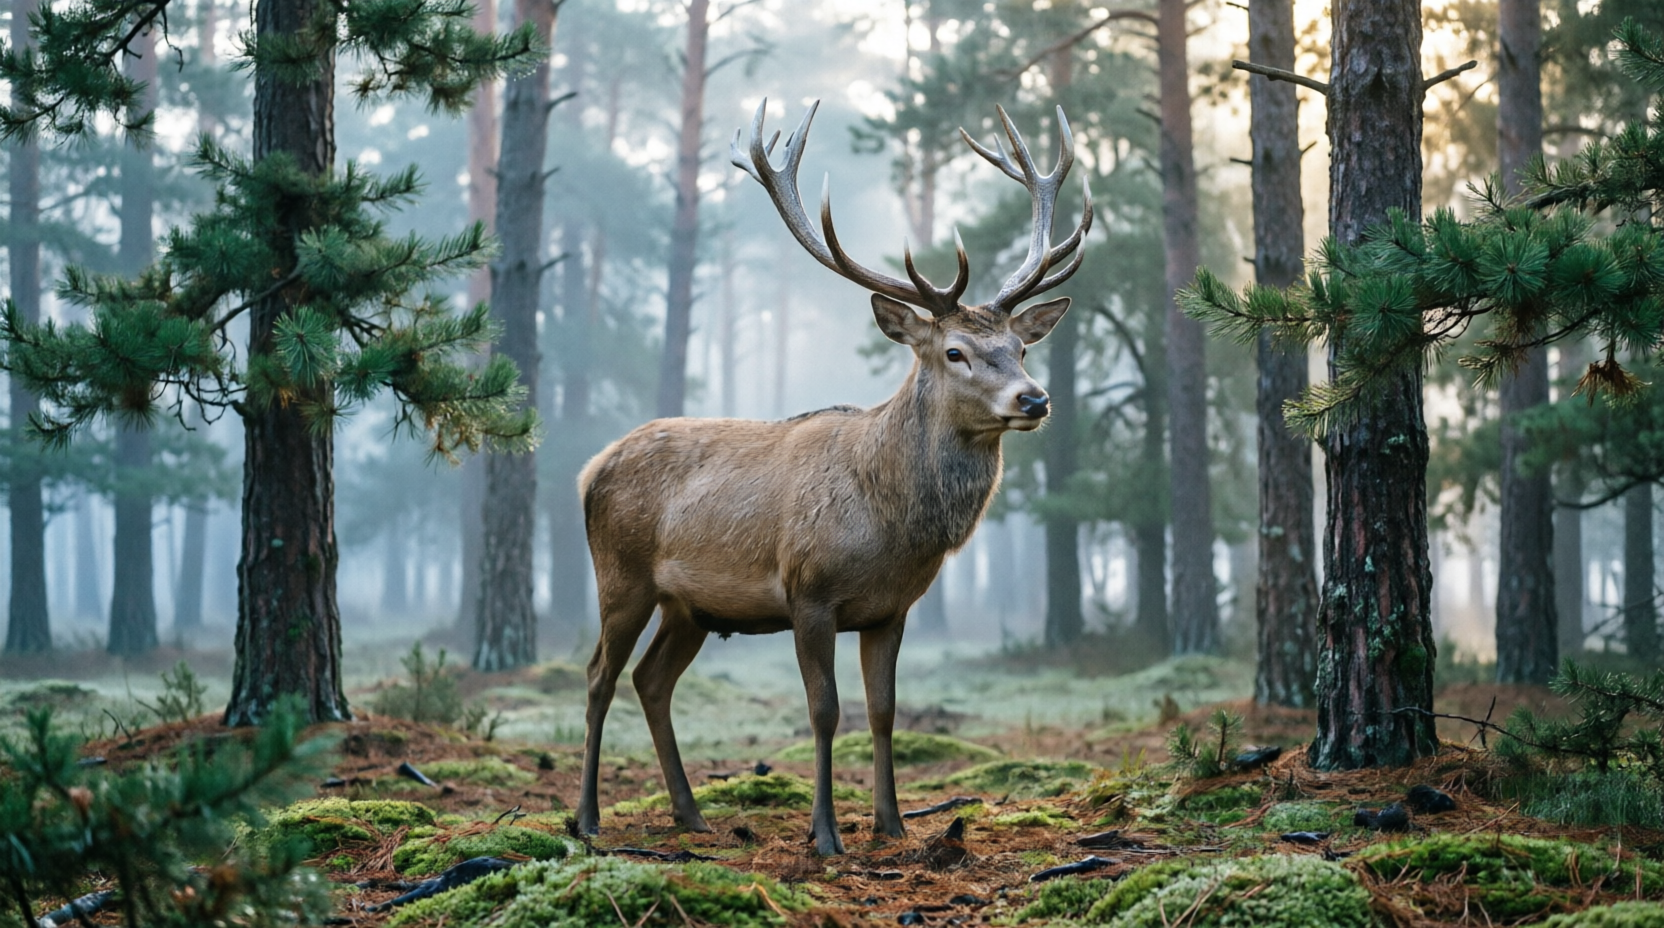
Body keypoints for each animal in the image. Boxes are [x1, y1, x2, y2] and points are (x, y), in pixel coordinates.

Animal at [574, 99, 1092, 856]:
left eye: (1020, 347)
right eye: (956, 351)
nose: (1035, 400)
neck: (889, 526)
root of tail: (591, 467)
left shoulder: (892, 610)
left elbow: (883, 711)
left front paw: (892, 823)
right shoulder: (808, 593)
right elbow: (825, 711)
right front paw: (825, 833)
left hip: (689, 607)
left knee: (651, 680)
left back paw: (692, 814)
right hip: (621, 574)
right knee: (599, 677)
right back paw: (586, 818)